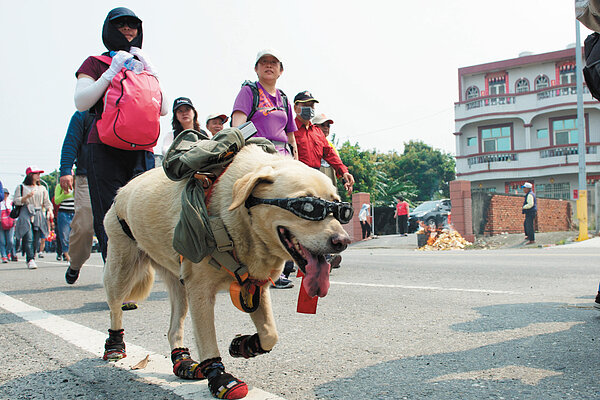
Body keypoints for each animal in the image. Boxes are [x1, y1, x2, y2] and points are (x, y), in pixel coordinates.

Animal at [102, 144, 352, 399]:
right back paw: (115, 346)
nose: (343, 241)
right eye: (307, 206)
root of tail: (123, 190)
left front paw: (244, 345)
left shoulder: (256, 287)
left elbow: (270, 335)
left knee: (173, 329)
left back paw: (182, 362)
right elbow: (208, 340)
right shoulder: (200, 292)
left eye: (341, 209)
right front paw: (219, 376)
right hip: (121, 269)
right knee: (115, 307)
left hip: (178, 287)